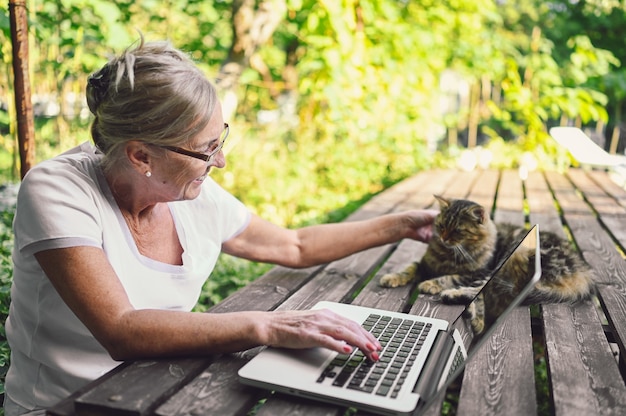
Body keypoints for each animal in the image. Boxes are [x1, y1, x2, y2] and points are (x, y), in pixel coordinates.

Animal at [378, 196, 592, 334]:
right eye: (441, 226)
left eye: (457, 231)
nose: (444, 238)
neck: (448, 255)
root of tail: (583, 272)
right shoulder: (425, 264)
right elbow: (409, 269)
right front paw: (391, 278)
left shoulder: (478, 271)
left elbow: (450, 277)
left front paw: (430, 283)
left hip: (504, 265)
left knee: (479, 293)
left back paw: (457, 301)